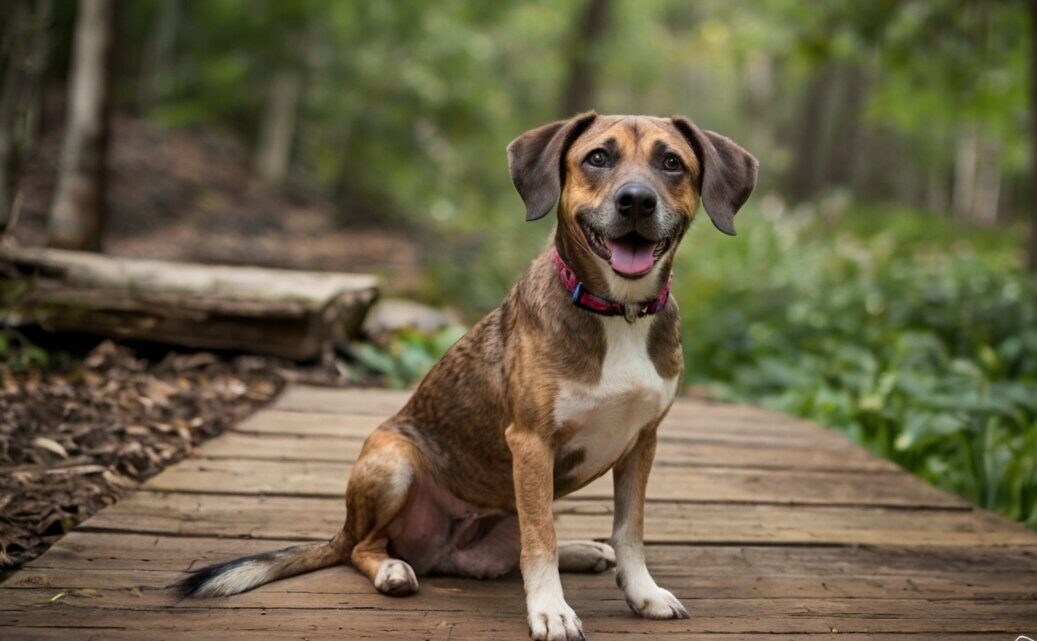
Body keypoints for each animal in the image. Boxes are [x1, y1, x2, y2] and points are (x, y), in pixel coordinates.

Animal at [178, 114, 759, 638]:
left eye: (671, 163)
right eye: (598, 157)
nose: (636, 200)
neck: (618, 311)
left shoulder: (642, 442)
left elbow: (627, 531)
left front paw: (643, 593)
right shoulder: (531, 442)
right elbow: (541, 541)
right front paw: (551, 611)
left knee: (518, 543)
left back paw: (582, 551)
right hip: (392, 464)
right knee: (366, 548)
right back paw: (392, 569)